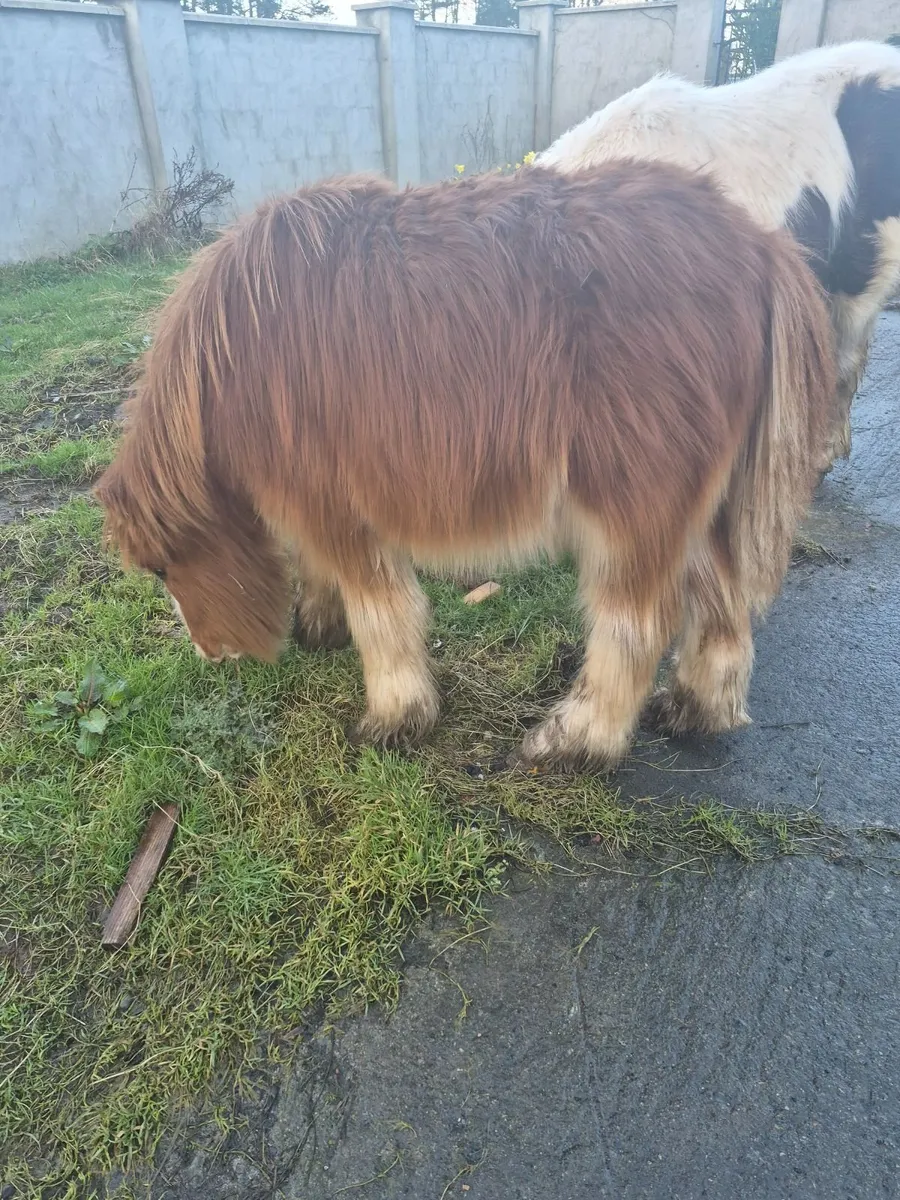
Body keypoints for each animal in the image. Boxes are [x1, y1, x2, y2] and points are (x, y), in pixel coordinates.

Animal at [95, 162, 835, 769]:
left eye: (160, 569)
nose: (209, 653)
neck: (224, 361)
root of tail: (761, 245)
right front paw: (319, 623)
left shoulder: (334, 505)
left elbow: (384, 614)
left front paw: (395, 718)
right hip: (697, 505)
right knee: (723, 606)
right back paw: (695, 711)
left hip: (635, 503)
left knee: (639, 623)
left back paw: (574, 741)